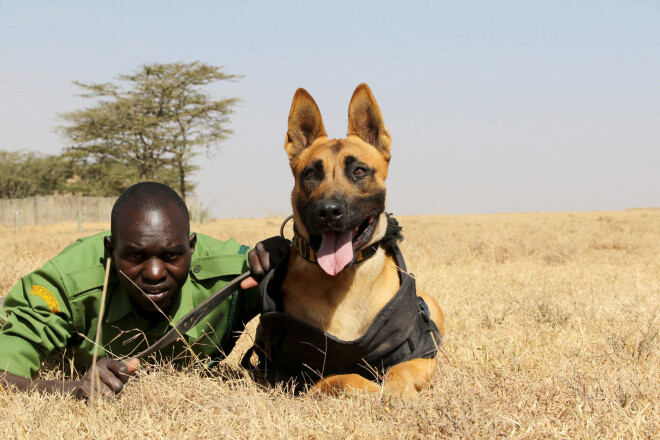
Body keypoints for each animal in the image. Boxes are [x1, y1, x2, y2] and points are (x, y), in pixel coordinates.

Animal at [245, 82, 446, 398]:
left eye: (359, 171)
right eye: (311, 173)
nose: (329, 211)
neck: (341, 282)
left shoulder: (420, 358)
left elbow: (399, 370)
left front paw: (398, 392)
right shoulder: (295, 377)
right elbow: (341, 377)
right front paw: (371, 387)